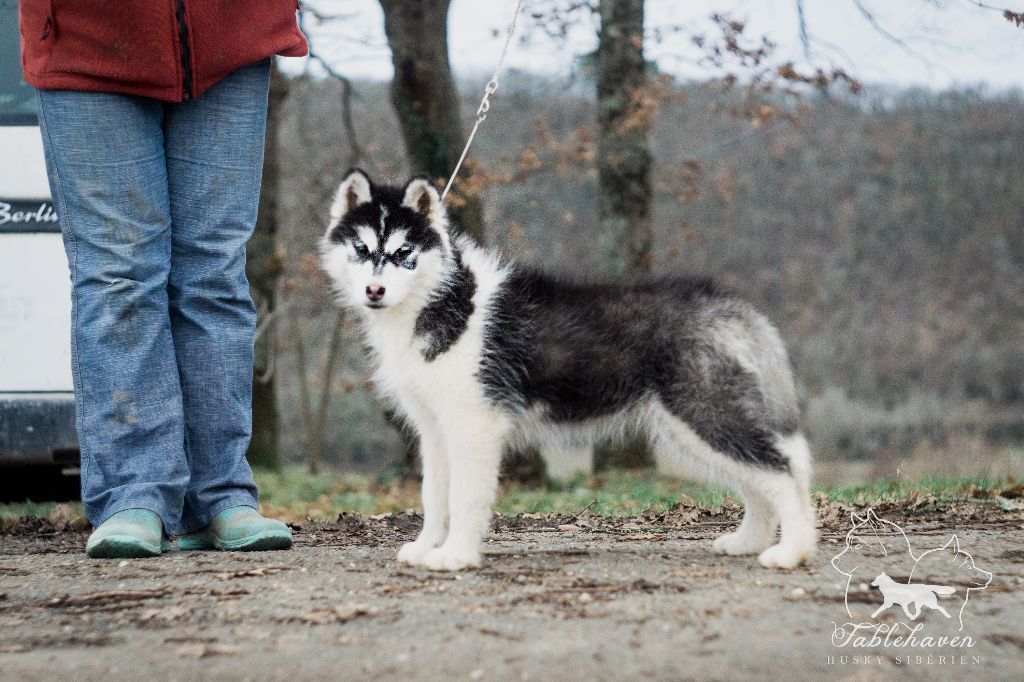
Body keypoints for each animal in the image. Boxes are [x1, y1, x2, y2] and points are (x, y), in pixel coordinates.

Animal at [319, 168, 815, 569]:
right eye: (362, 248)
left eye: (405, 252)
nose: (375, 291)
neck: (443, 301)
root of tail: (725, 303)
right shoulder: (434, 427)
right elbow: (434, 494)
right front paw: (426, 548)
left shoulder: (475, 423)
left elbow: (463, 496)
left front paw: (456, 556)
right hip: (692, 430)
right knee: (759, 479)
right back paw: (748, 542)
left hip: (703, 414)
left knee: (783, 471)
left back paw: (792, 552)